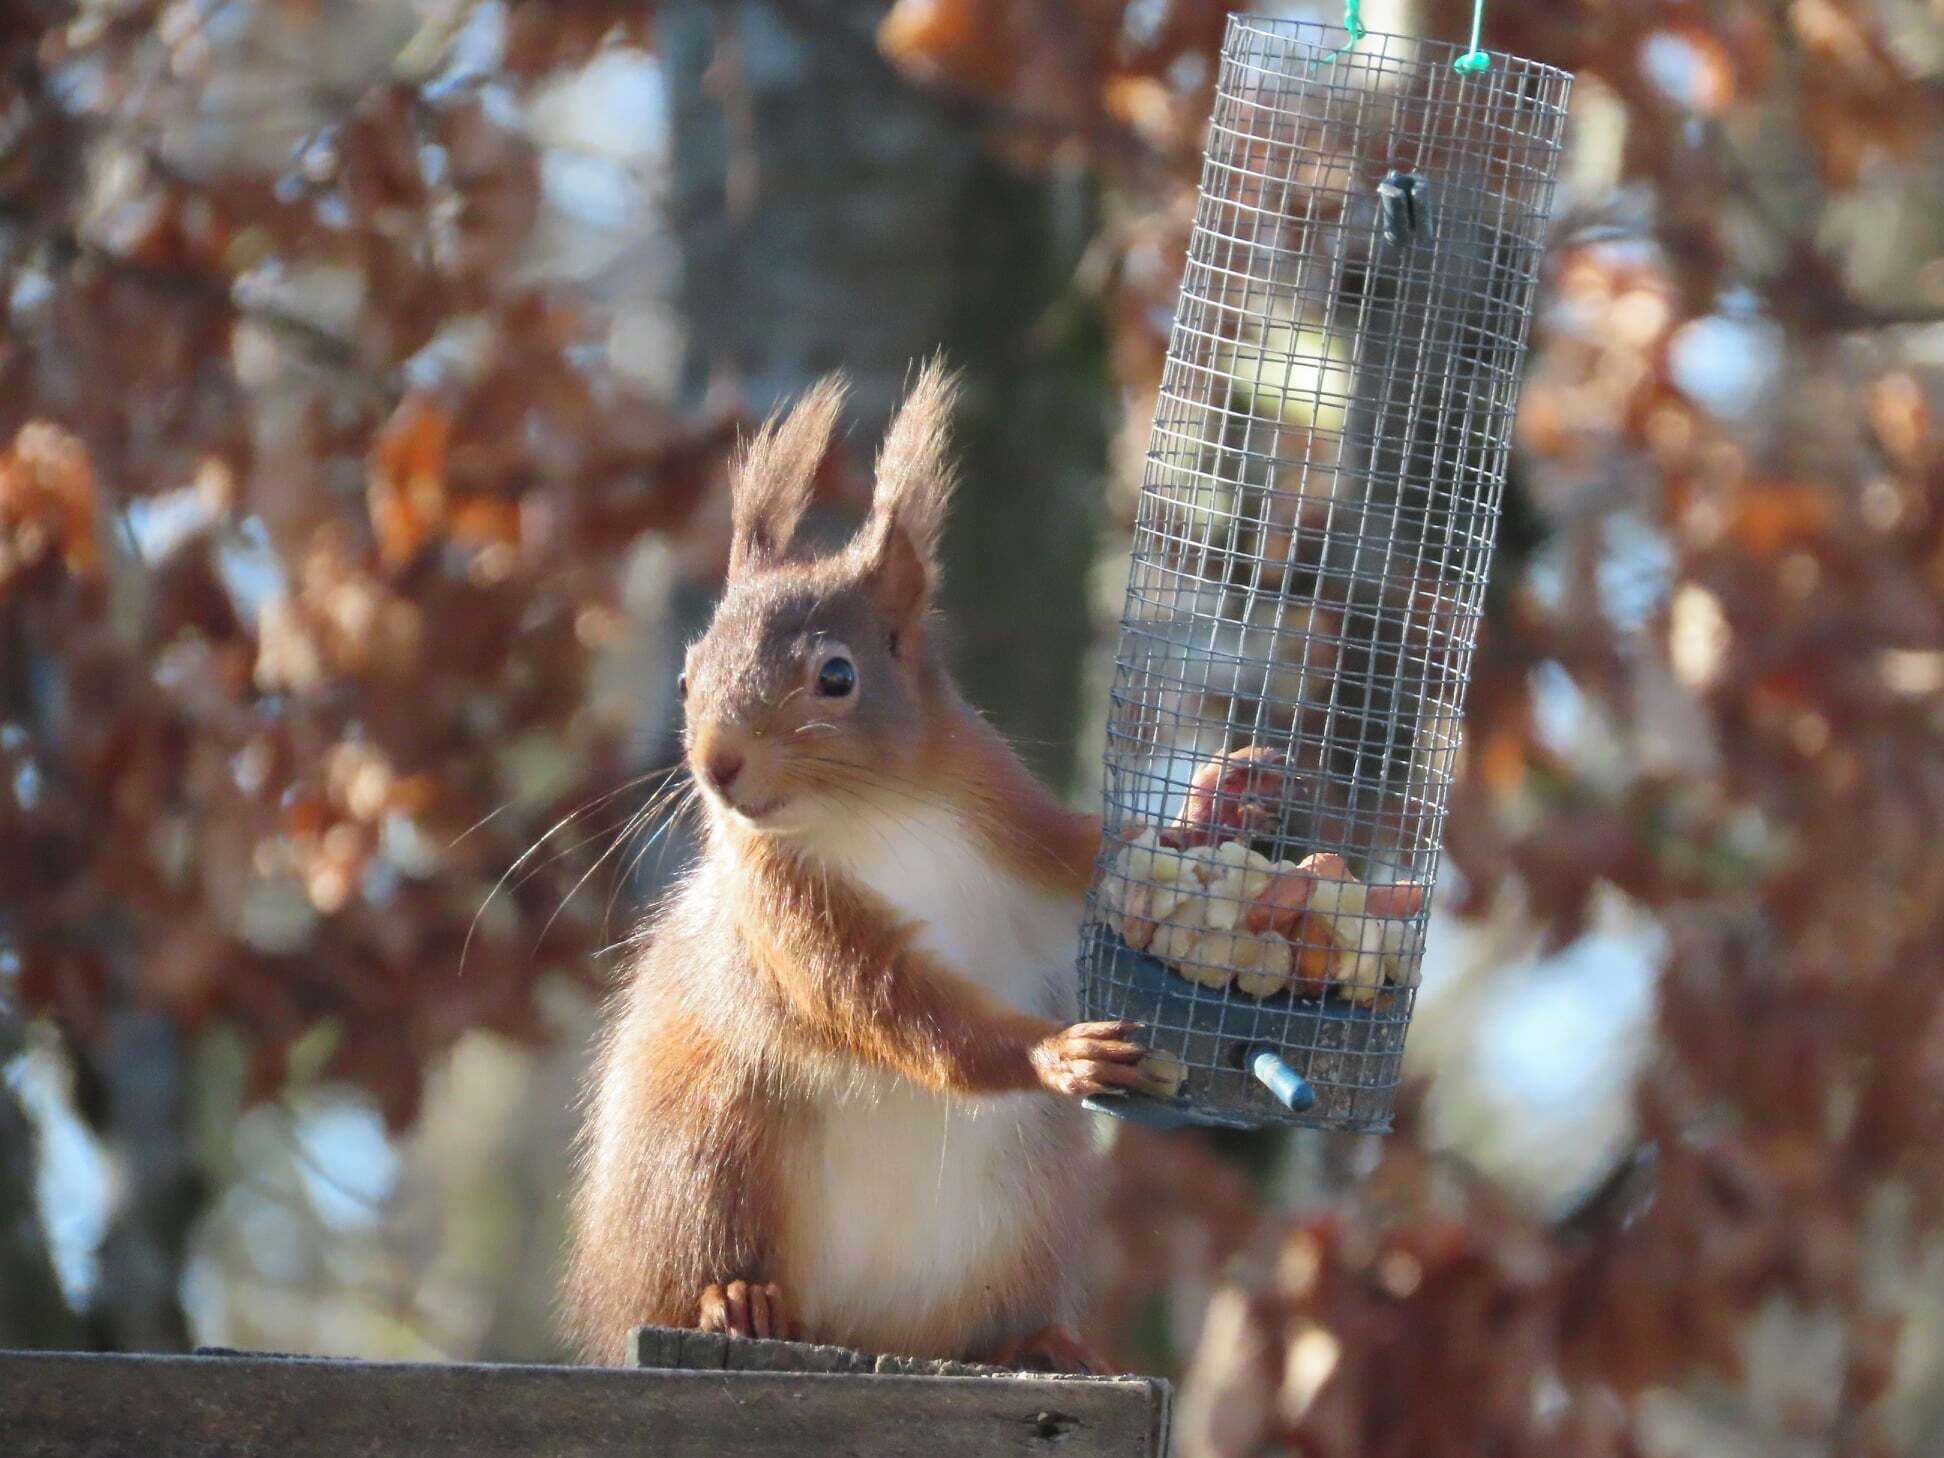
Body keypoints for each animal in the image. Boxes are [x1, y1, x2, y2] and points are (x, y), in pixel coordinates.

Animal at [562, 361, 1269, 1371]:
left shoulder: (1020, 832)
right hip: (707, 1152)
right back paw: (734, 1300)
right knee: (692, 1266)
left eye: (837, 677)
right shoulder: (790, 917)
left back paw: (1039, 1340)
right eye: (688, 677)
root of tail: (867, 1331)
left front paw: (1211, 803)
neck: (879, 816)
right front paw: (1055, 1054)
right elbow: (896, 1008)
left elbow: (1093, 871)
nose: (716, 764)